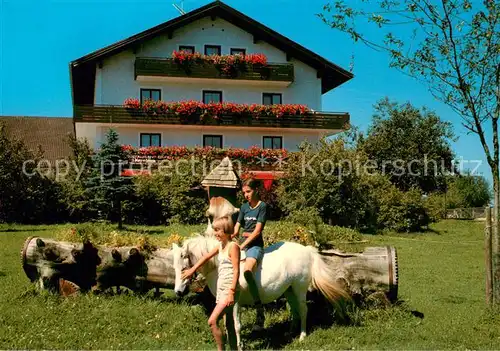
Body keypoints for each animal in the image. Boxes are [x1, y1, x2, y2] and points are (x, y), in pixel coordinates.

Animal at [172, 235, 348, 346]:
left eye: (184, 268)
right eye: (173, 267)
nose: (178, 292)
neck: (220, 266)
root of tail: (307, 251)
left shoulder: (235, 303)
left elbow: (236, 325)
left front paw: (239, 344)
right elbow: (227, 324)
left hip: (299, 289)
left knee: (303, 310)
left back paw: (302, 336)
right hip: (289, 290)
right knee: (295, 310)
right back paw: (289, 333)